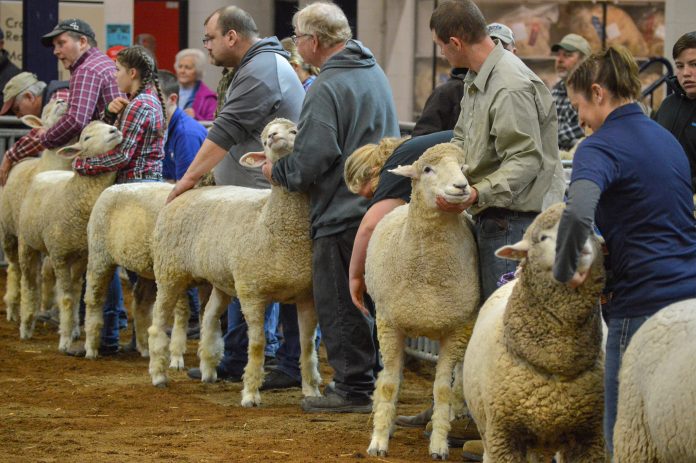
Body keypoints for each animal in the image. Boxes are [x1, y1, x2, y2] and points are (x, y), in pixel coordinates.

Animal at [0, 98, 72, 322]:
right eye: (45, 111)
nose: (62, 99)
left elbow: (49, 272)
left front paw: (51, 306)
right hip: (8, 232)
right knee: (15, 268)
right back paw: (13, 307)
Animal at [17, 121, 123, 350]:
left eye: (108, 125)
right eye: (87, 138)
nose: (114, 130)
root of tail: (50, 172)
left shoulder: (83, 255)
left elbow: (75, 294)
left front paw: (72, 330)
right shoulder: (60, 256)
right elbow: (65, 298)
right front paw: (64, 340)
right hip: (26, 243)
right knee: (29, 283)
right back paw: (26, 324)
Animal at [147, 118, 321, 408]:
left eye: (294, 130)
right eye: (264, 137)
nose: (273, 137)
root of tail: (184, 192)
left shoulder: (307, 295)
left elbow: (307, 345)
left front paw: (311, 391)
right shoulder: (252, 292)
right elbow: (257, 344)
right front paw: (250, 393)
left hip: (221, 281)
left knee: (208, 317)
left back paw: (208, 370)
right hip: (169, 273)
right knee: (158, 323)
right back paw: (159, 375)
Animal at [364, 143, 480, 460]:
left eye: (463, 168)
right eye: (427, 169)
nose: (461, 187)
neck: (429, 272)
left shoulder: (456, 329)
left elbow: (442, 390)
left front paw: (439, 444)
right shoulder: (389, 324)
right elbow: (389, 385)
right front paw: (379, 440)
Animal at [462, 203, 606, 462]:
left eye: (590, 229)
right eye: (543, 238)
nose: (579, 249)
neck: (556, 363)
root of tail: (511, 278)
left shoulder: (590, 436)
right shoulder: (504, 435)